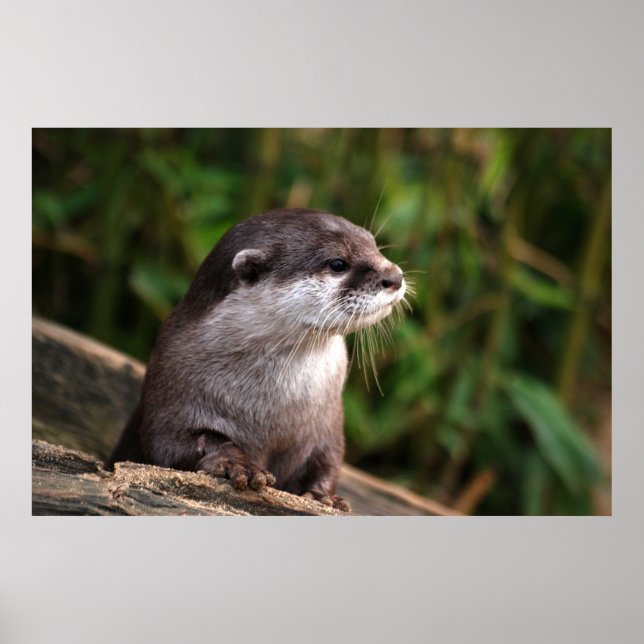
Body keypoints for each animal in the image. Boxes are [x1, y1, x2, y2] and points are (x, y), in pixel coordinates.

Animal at [108, 208, 406, 511]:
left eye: (374, 245)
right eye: (337, 263)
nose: (395, 276)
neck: (272, 410)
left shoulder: (327, 424)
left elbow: (327, 461)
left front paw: (323, 496)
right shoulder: (171, 389)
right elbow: (172, 444)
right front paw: (238, 464)